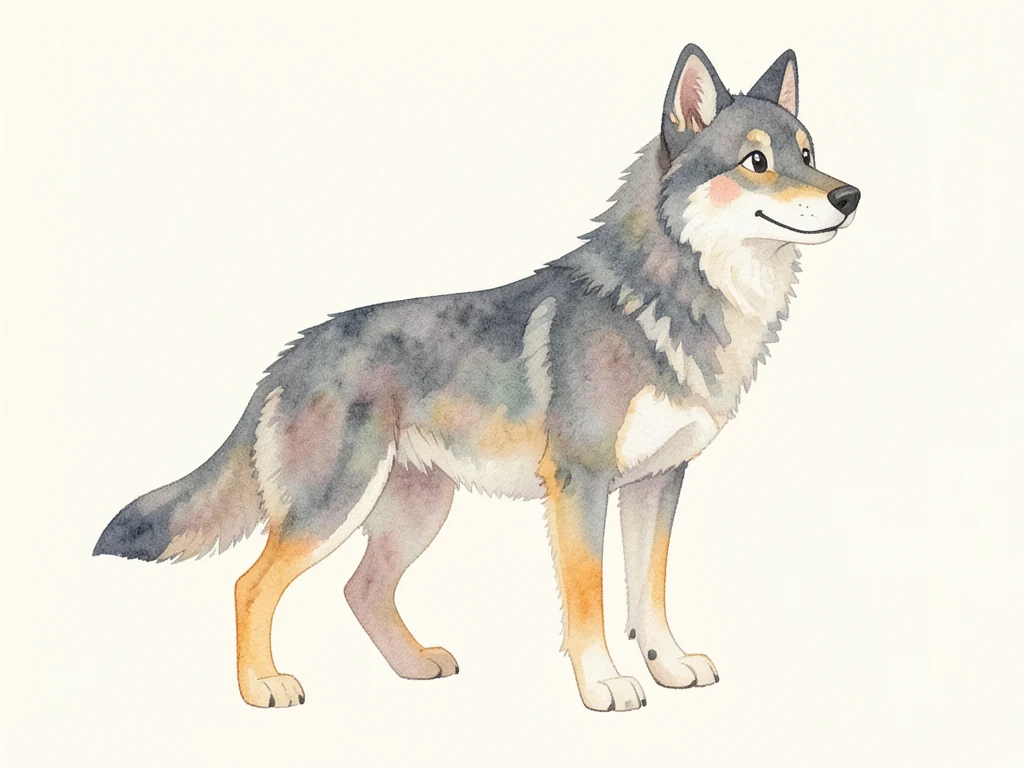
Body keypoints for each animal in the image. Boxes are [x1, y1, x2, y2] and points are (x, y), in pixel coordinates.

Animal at [94, 44, 859, 712]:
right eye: (756, 161)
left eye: (808, 156)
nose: (849, 196)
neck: (666, 299)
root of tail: (291, 352)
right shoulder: (581, 485)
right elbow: (590, 599)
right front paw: (603, 685)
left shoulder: (658, 483)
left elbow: (650, 594)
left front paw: (668, 666)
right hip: (332, 508)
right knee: (249, 586)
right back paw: (262, 688)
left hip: (417, 512)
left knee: (361, 591)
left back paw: (413, 667)